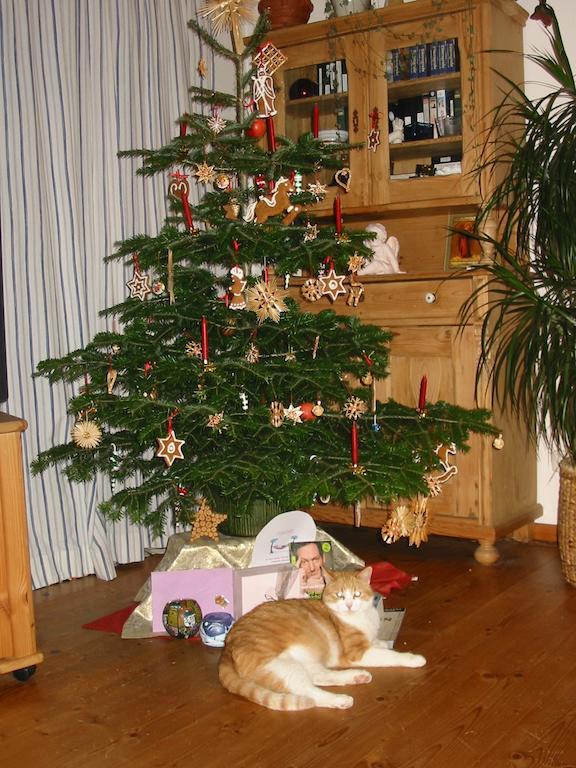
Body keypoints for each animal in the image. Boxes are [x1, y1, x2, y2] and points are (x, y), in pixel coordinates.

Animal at [218, 564, 426, 708]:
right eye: (340, 595)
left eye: (357, 594)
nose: (349, 605)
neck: (361, 617)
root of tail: (227, 646)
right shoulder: (356, 652)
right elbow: (390, 655)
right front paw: (413, 658)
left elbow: (379, 643)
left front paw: (382, 642)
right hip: (281, 667)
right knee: (309, 692)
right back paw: (340, 700)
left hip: (302, 662)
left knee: (320, 676)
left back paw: (357, 677)